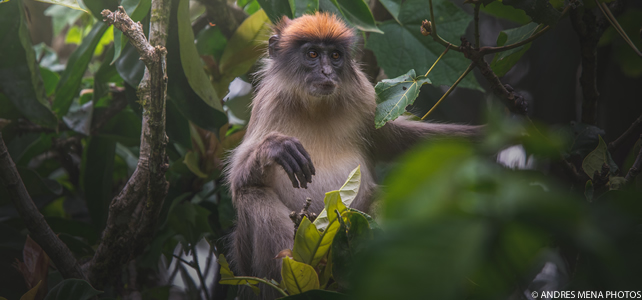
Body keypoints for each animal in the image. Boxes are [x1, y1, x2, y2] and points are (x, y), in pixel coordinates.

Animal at [225, 11, 480, 298]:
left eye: (335, 56)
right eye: (312, 54)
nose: (326, 71)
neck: (314, 107)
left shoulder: (365, 100)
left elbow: (397, 141)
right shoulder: (268, 103)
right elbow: (236, 181)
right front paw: (277, 148)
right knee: (253, 195)